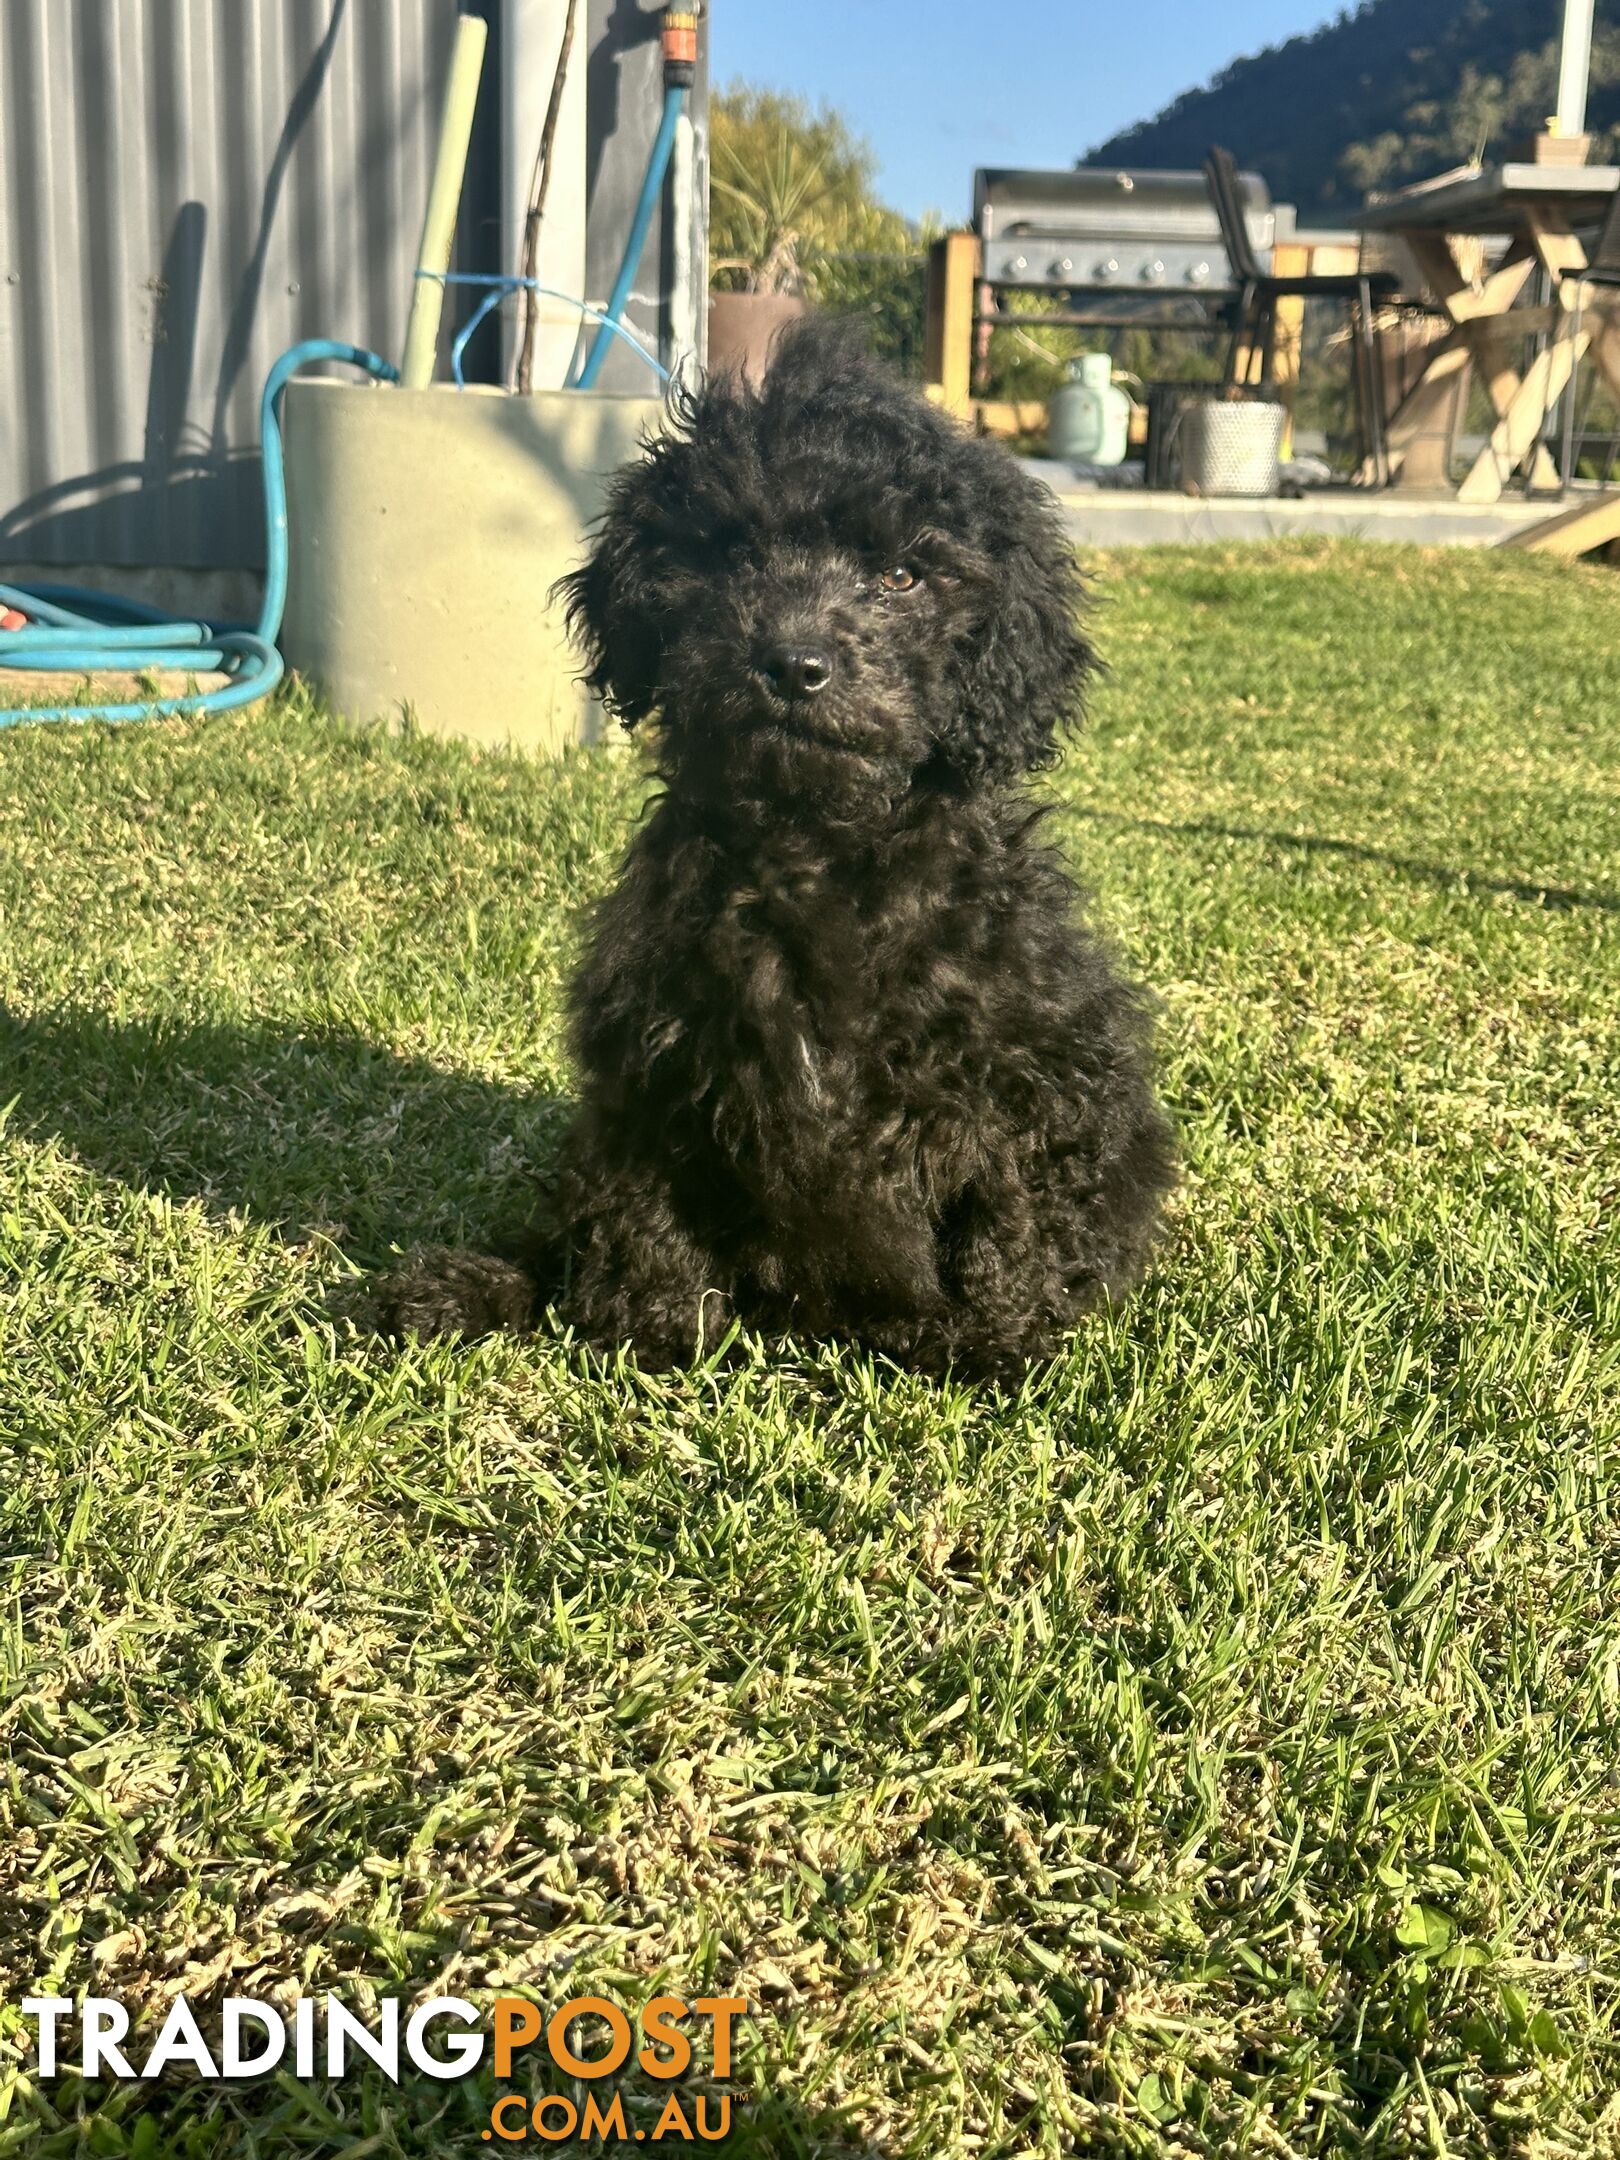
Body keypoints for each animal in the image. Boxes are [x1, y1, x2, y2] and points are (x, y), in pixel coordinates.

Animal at [386, 328, 1183, 1373]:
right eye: (731, 555)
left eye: (903, 577)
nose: (795, 666)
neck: (818, 844)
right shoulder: (653, 1053)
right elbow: (640, 1205)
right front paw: (656, 1330)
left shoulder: (1043, 1071)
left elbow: (1015, 1214)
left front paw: (988, 1343)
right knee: (563, 1232)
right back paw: (461, 1290)